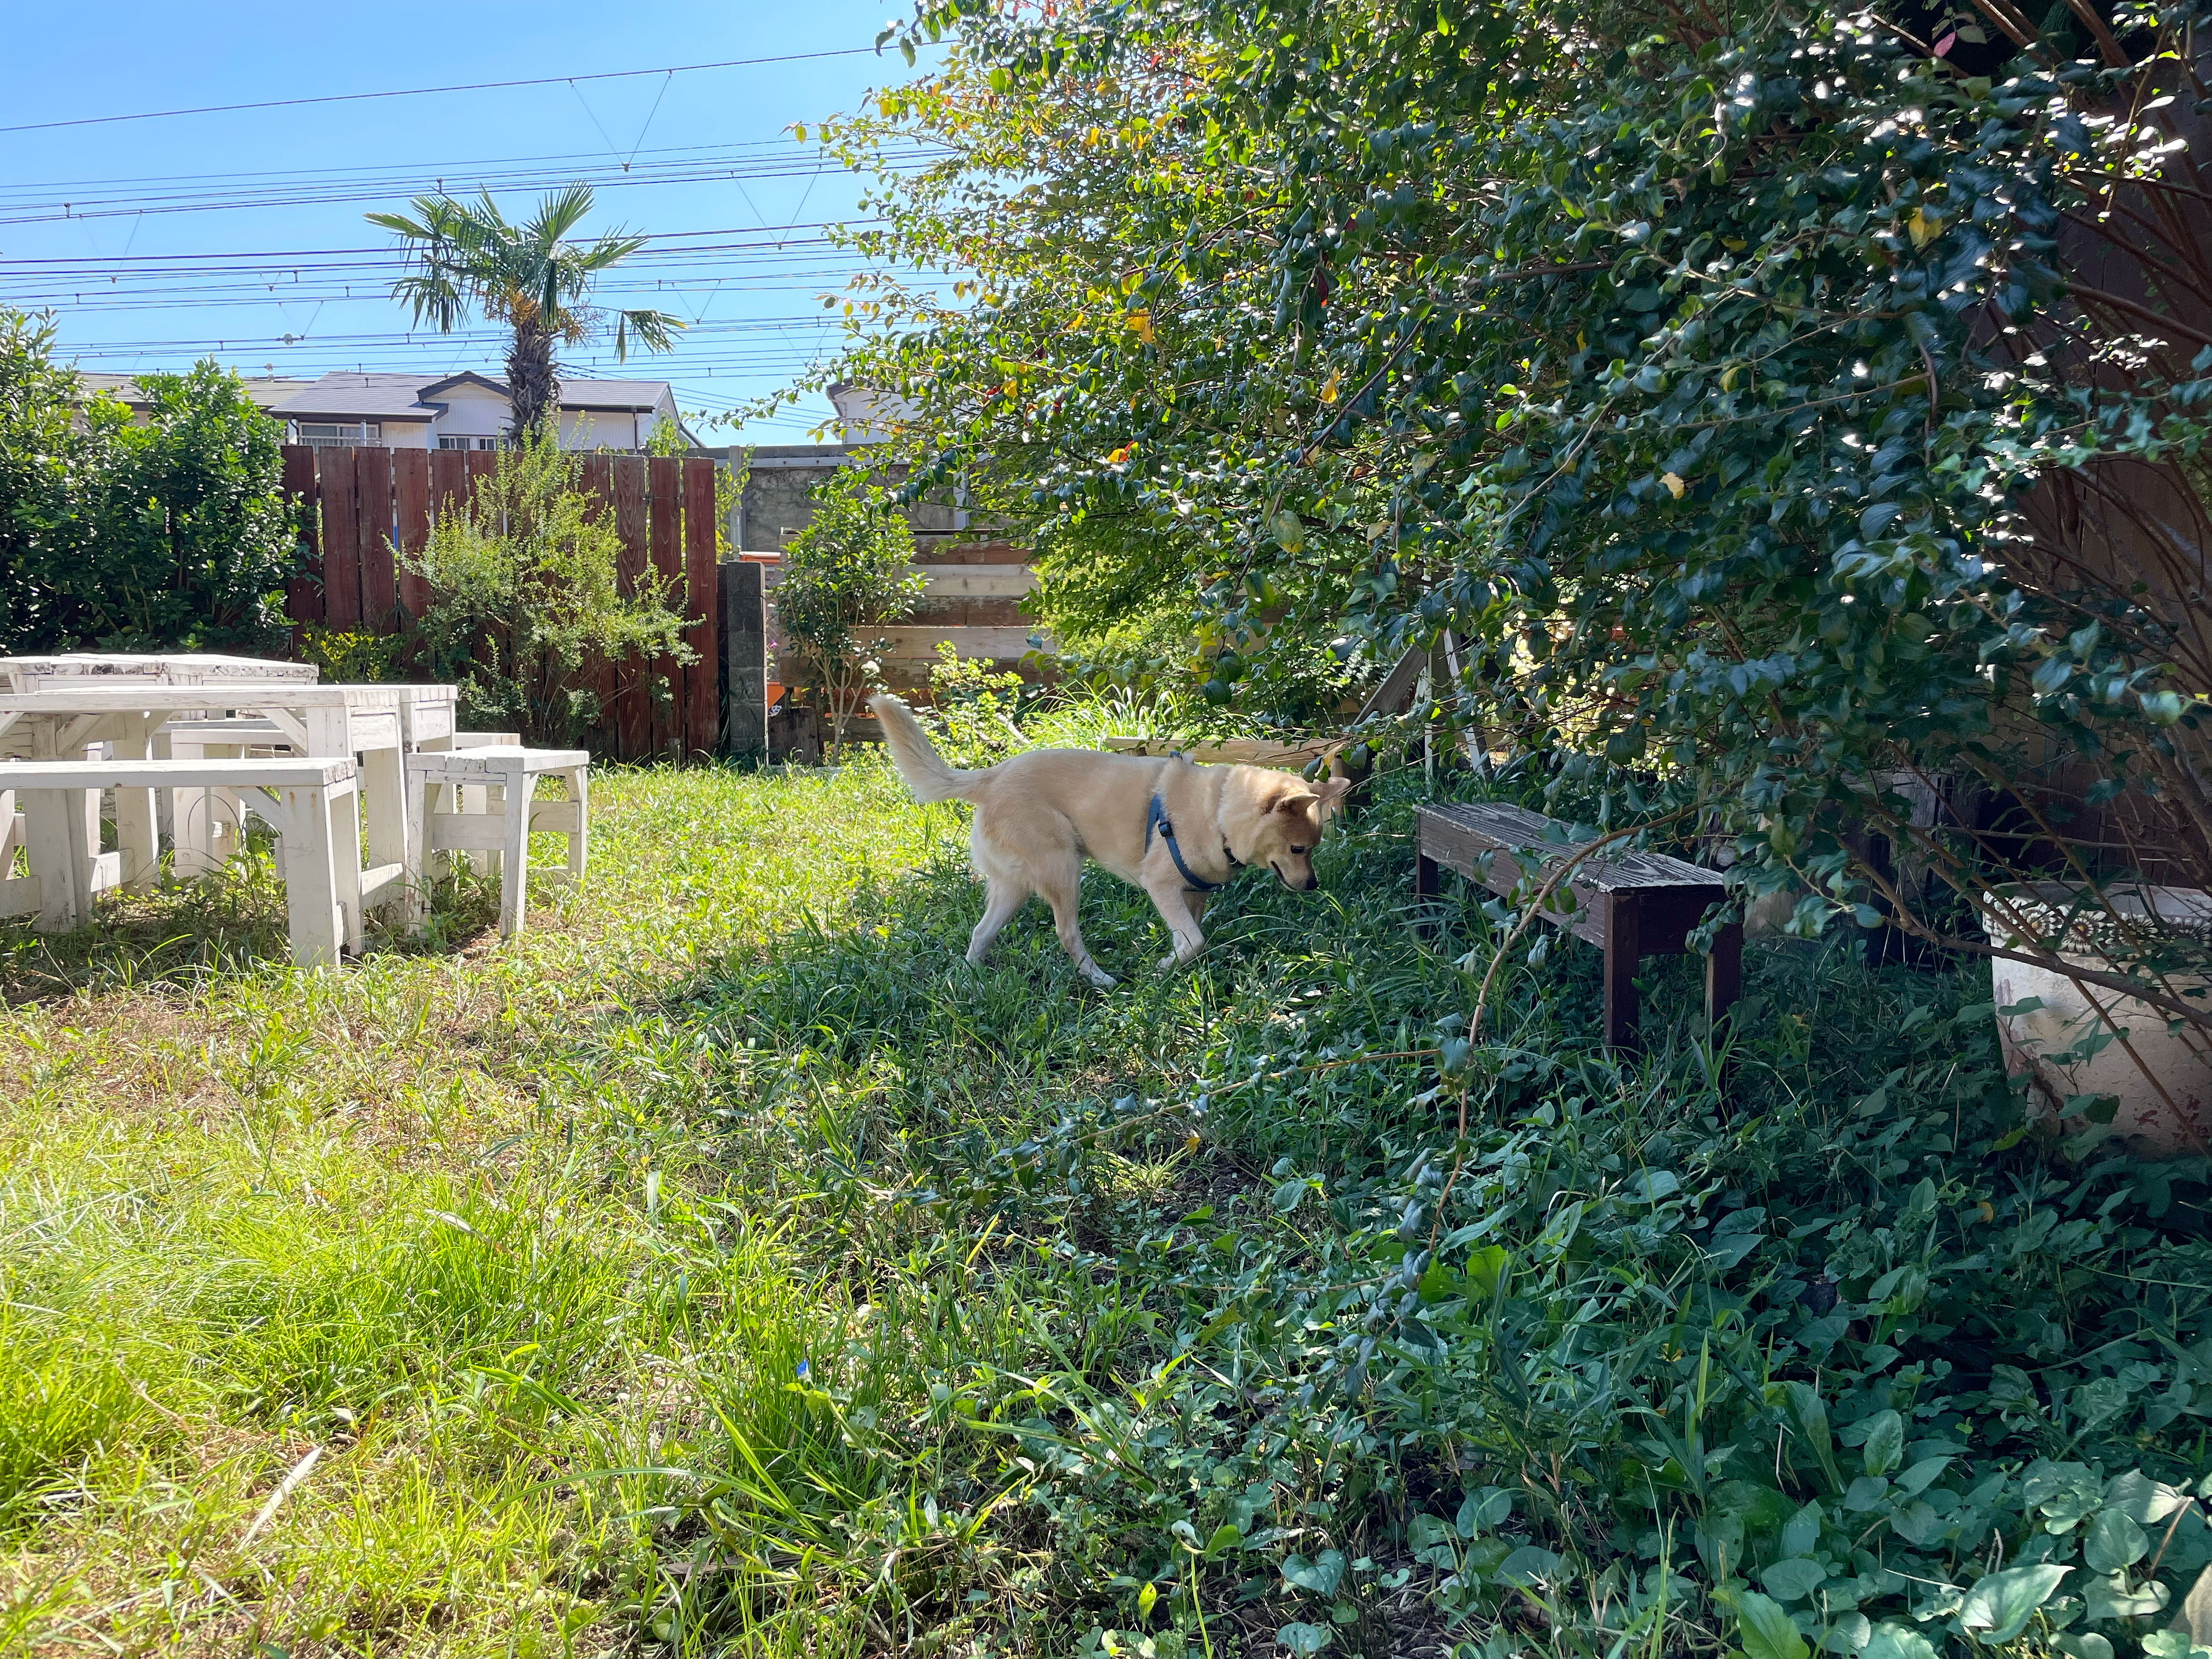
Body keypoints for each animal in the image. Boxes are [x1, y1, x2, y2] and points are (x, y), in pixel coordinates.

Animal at [867, 699, 1345, 995]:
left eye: (1313, 847)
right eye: (1299, 849)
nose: (1314, 886)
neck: (1218, 812)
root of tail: (992, 774)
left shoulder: (1194, 895)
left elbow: (1190, 938)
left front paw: (1176, 968)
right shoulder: (1161, 886)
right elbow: (1194, 940)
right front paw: (1162, 969)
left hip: (1012, 889)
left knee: (980, 933)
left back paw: (971, 981)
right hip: (1063, 871)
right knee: (1066, 934)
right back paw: (1098, 980)